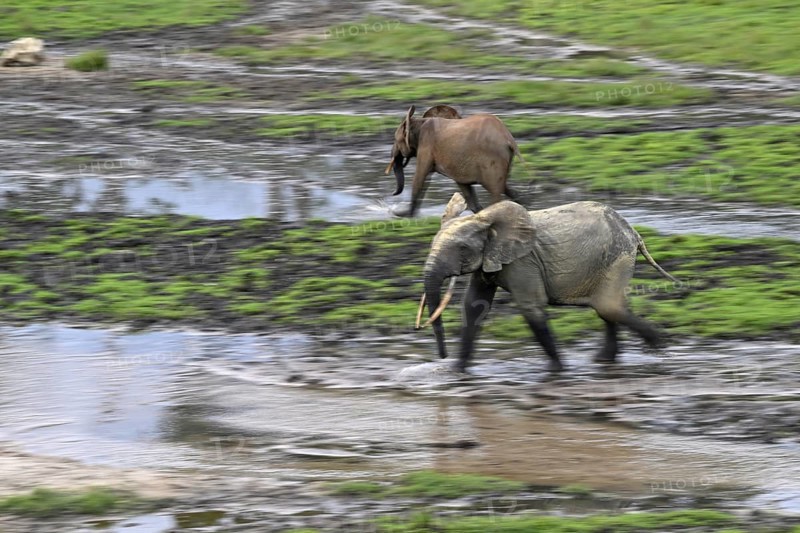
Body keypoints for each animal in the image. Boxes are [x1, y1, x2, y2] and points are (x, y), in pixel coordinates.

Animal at [384, 105, 524, 217]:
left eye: (396, 140)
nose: (392, 194)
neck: (419, 121)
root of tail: (508, 138)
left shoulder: (426, 146)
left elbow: (420, 178)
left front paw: (407, 216)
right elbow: (464, 187)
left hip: (492, 159)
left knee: (495, 191)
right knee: (503, 186)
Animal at [417, 194, 678, 373]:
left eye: (462, 249)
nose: (442, 358)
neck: (484, 219)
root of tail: (633, 232)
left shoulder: (522, 261)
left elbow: (531, 306)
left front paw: (557, 371)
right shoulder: (490, 260)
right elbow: (474, 306)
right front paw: (456, 372)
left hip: (616, 257)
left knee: (608, 307)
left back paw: (659, 348)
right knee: (606, 308)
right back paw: (606, 360)